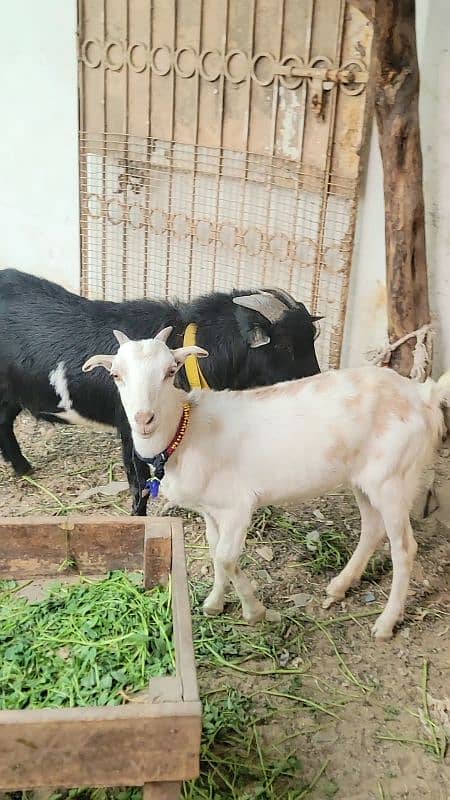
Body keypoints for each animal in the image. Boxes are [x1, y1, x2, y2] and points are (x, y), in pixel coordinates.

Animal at [0, 268, 320, 516]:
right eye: (284, 345)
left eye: (311, 337)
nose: (316, 379)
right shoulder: (132, 431)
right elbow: (139, 482)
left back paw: (23, 468)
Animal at [83, 328, 450, 640]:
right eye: (116, 374)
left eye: (171, 371)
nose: (144, 419)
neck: (186, 433)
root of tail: (424, 394)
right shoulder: (211, 510)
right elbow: (214, 550)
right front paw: (215, 603)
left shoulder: (238, 506)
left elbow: (226, 557)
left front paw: (253, 611)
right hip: (365, 479)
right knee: (372, 529)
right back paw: (339, 586)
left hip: (394, 478)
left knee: (404, 548)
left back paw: (386, 623)